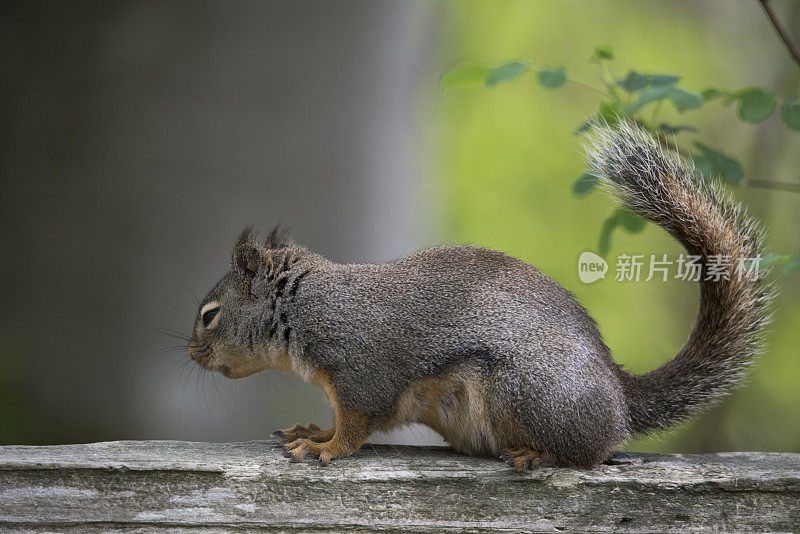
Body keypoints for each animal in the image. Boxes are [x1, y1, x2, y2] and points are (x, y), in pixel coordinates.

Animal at [184, 120, 772, 468]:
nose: (190, 353)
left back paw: (539, 456)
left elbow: (356, 425)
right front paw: (314, 428)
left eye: (210, 315)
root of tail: (619, 396)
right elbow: (342, 417)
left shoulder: (360, 370)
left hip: (527, 391)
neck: (304, 305)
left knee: (589, 451)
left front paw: (323, 447)